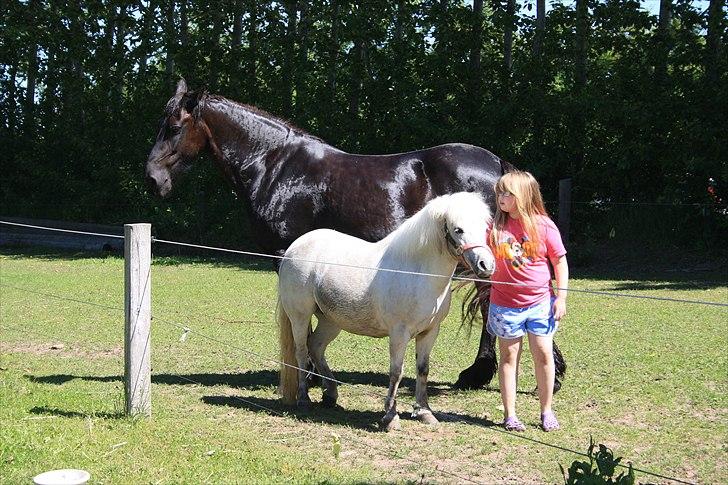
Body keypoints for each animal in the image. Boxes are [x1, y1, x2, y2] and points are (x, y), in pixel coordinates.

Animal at [146, 78, 568, 390]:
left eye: (174, 127)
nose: (152, 180)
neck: (275, 166)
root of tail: (497, 165)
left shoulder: (286, 256)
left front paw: (307, 375)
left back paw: (482, 374)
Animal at [278, 191, 494, 430]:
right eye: (458, 229)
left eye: (485, 228)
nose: (486, 265)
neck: (417, 273)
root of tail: (295, 247)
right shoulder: (399, 333)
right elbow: (396, 372)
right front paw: (390, 417)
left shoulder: (430, 332)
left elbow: (423, 369)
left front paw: (424, 412)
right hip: (300, 316)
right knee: (301, 351)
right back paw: (303, 399)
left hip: (330, 321)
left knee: (315, 347)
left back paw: (331, 395)